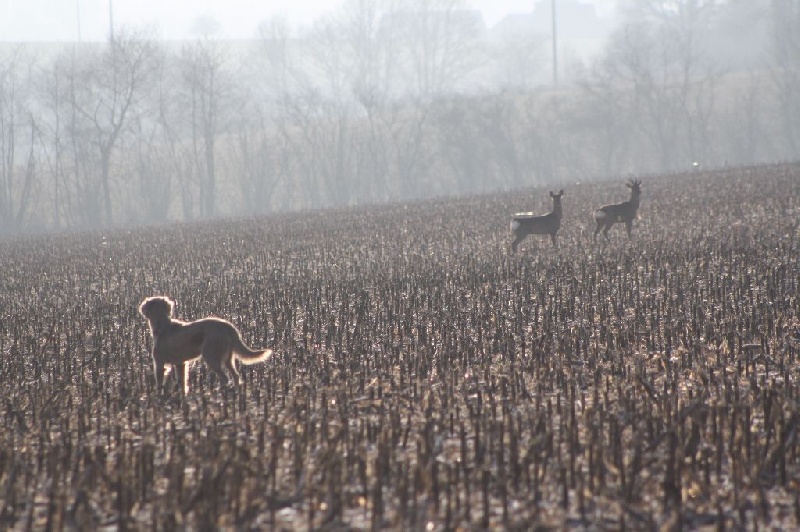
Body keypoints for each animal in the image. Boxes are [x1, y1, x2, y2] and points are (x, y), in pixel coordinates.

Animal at [139, 298, 274, 392]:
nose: (141, 307)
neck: (162, 325)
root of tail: (229, 327)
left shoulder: (159, 363)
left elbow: (159, 383)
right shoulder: (180, 364)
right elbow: (182, 382)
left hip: (210, 356)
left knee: (225, 378)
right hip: (228, 358)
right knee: (235, 376)